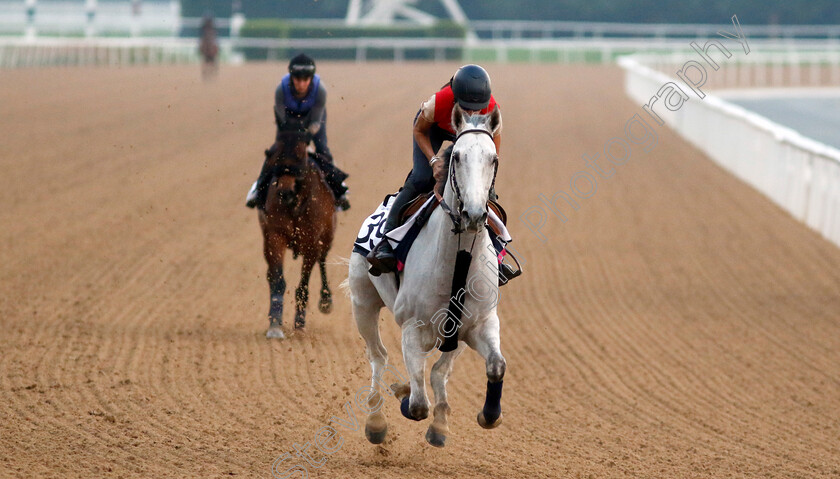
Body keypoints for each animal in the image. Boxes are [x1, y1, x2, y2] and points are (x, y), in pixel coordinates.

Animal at [258, 125, 336, 340]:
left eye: (301, 156)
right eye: (275, 153)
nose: (285, 191)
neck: (295, 204)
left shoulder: (312, 243)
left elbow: (303, 286)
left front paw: (299, 325)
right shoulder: (274, 236)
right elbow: (277, 280)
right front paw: (275, 324)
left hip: (327, 238)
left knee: (323, 261)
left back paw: (326, 300)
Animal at [348, 105, 506, 450]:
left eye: (493, 159)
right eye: (456, 156)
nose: (474, 214)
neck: (458, 260)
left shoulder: (477, 324)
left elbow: (492, 367)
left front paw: (485, 415)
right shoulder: (412, 327)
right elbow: (419, 403)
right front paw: (406, 396)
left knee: (431, 370)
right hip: (362, 302)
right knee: (378, 356)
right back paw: (377, 422)